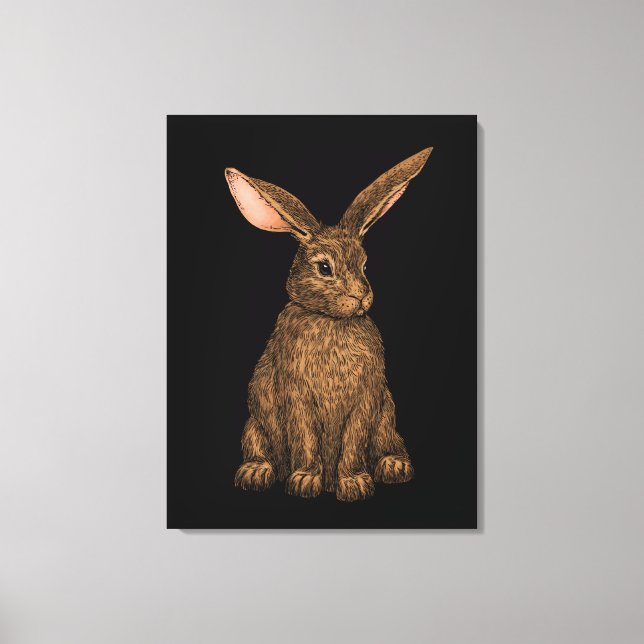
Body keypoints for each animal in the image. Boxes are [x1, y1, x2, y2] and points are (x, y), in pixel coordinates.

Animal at [225, 147, 432, 502]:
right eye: (324, 268)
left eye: (365, 265)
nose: (361, 295)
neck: (330, 319)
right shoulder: (296, 395)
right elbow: (306, 439)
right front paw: (305, 481)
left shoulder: (366, 397)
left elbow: (353, 441)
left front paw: (353, 484)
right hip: (254, 427)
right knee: (259, 447)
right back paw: (255, 472)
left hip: (386, 421)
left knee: (386, 443)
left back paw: (394, 466)